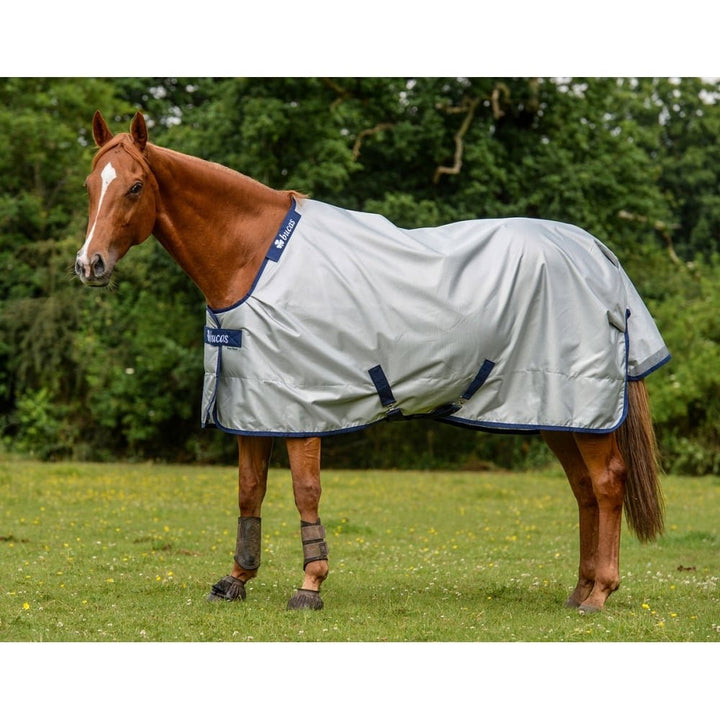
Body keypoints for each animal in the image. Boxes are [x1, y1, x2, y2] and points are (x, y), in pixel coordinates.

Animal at [75, 111, 669, 613]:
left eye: (134, 186)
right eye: (89, 185)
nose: (89, 265)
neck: (254, 257)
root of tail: (600, 255)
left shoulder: (302, 406)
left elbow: (305, 491)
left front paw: (310, 586)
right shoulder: (251, 404)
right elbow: (249, 490)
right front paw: (236, 579)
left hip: (581, 407)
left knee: (608, 482)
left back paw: (600, 595)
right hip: (556, 413)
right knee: (584, 490)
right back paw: (580, 589)